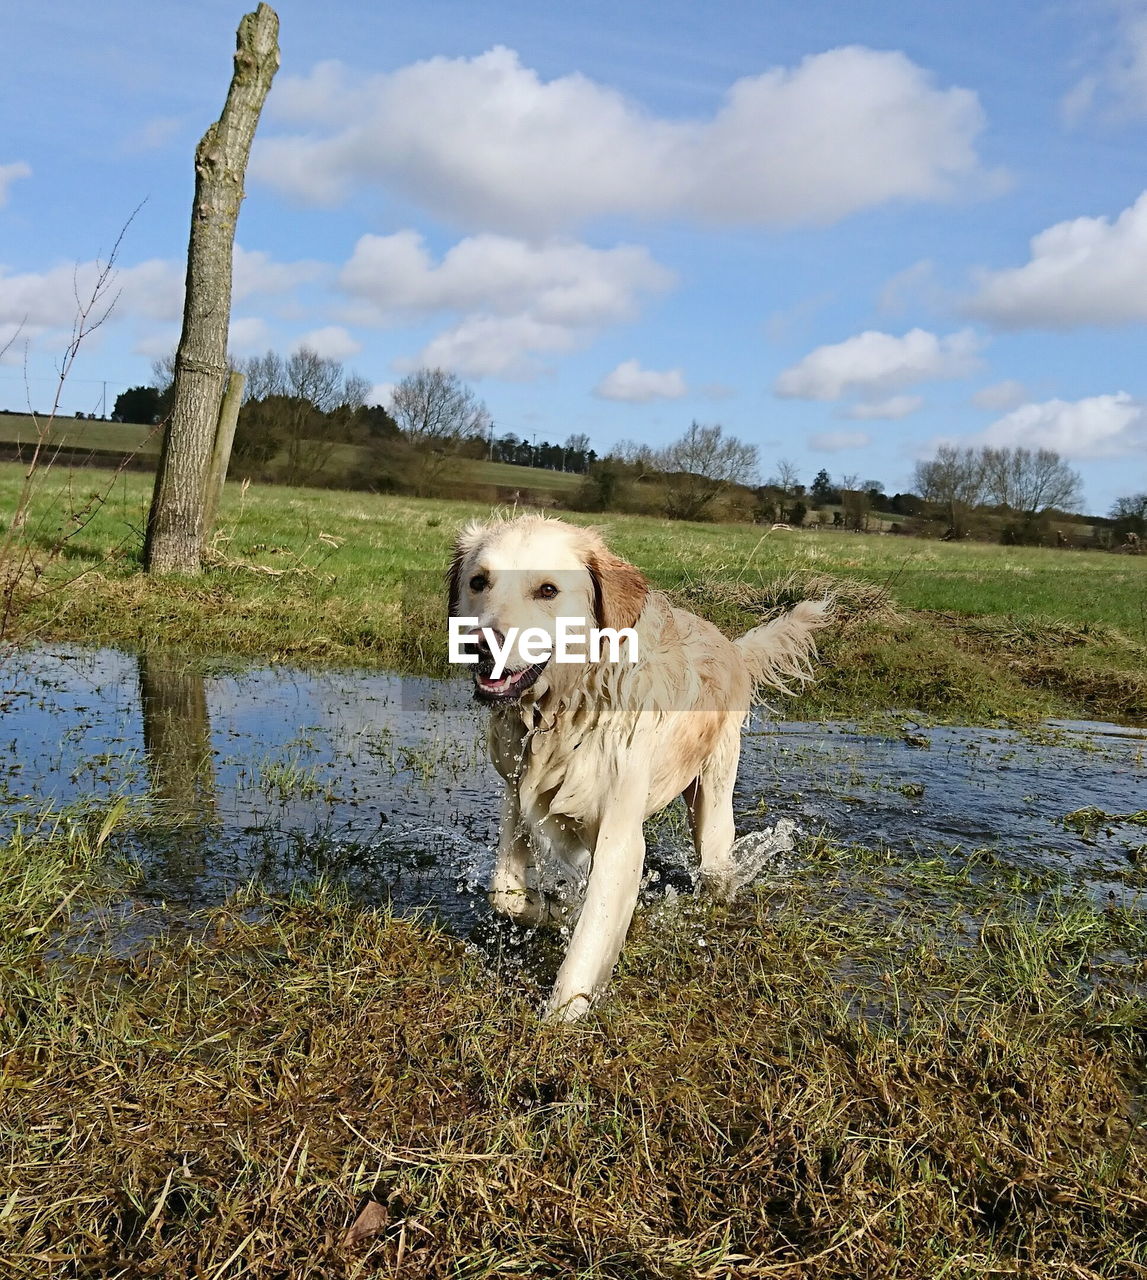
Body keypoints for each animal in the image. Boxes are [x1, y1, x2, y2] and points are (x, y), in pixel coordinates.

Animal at [442, 514, 829, 1024]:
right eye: (478, 582)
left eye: (547, 590)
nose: (479, 646)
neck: (564, 709)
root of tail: (731, 646)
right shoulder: (518, 795)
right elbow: (504, 892)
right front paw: (553, 909)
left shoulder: (620, 835)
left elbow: (589, 938)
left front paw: (560, 1019)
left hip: (713, 807)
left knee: (715, 869)